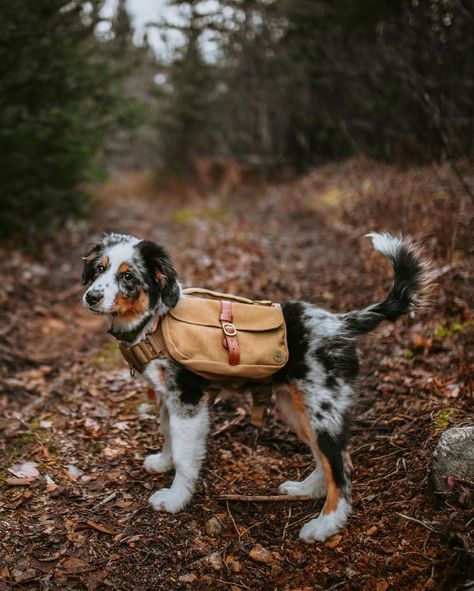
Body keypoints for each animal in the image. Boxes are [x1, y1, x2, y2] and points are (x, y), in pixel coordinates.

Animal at [80, 232, 430, 544]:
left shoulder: (188, 400)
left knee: (341, 468)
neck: (155, 323)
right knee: (327, 460)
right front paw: (163, 462)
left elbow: (184, 454)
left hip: (322, 409)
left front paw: (175, 498)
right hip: (296, 408)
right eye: (99, 269)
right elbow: (168, 434)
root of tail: (341, 323)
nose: (91, 297)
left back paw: (325, 525)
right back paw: (306, 490)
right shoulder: (169, 397)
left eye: (128, 276)